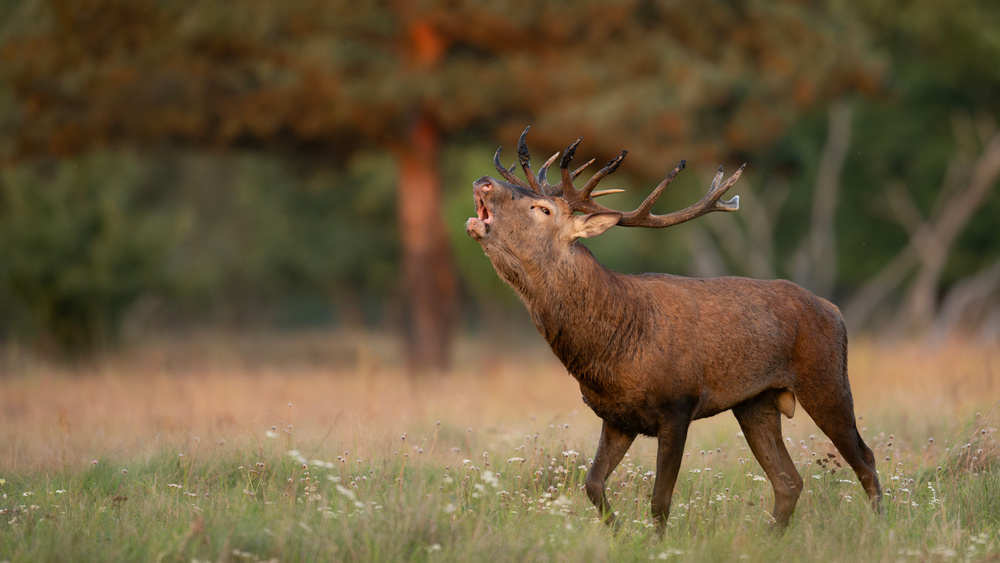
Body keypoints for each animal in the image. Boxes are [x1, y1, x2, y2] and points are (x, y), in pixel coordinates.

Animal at [466, 126, 884, 532]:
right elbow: (592, 485)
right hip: (756, 402)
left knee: (865, 459)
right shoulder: (616, 417)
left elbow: (660, 500)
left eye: (543, 208)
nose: (484, 182)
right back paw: (769, 538)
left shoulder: (678, 405)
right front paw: (619, 533)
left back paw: (880, 527)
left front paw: (656, 543)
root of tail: (835, 310)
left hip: (826, 378)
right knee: (789, 481)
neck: (611, 350)